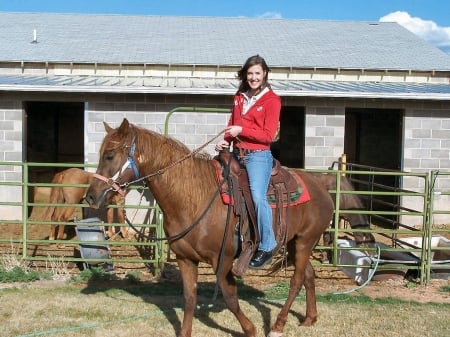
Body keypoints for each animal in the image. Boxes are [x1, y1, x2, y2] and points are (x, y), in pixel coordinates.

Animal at [86, 118, 336, 336]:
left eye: (109, 155)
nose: (91, 196)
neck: (194, 198)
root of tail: (321, 186)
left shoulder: (222, 259)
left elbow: (230, 296)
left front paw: (250, 330)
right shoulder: (185, 259)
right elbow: (189, 298)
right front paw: (185, 332)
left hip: (304, 242)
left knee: (296, 281)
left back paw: (278, 326)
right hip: (294, 243)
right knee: (309, 275)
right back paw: (309, 318)